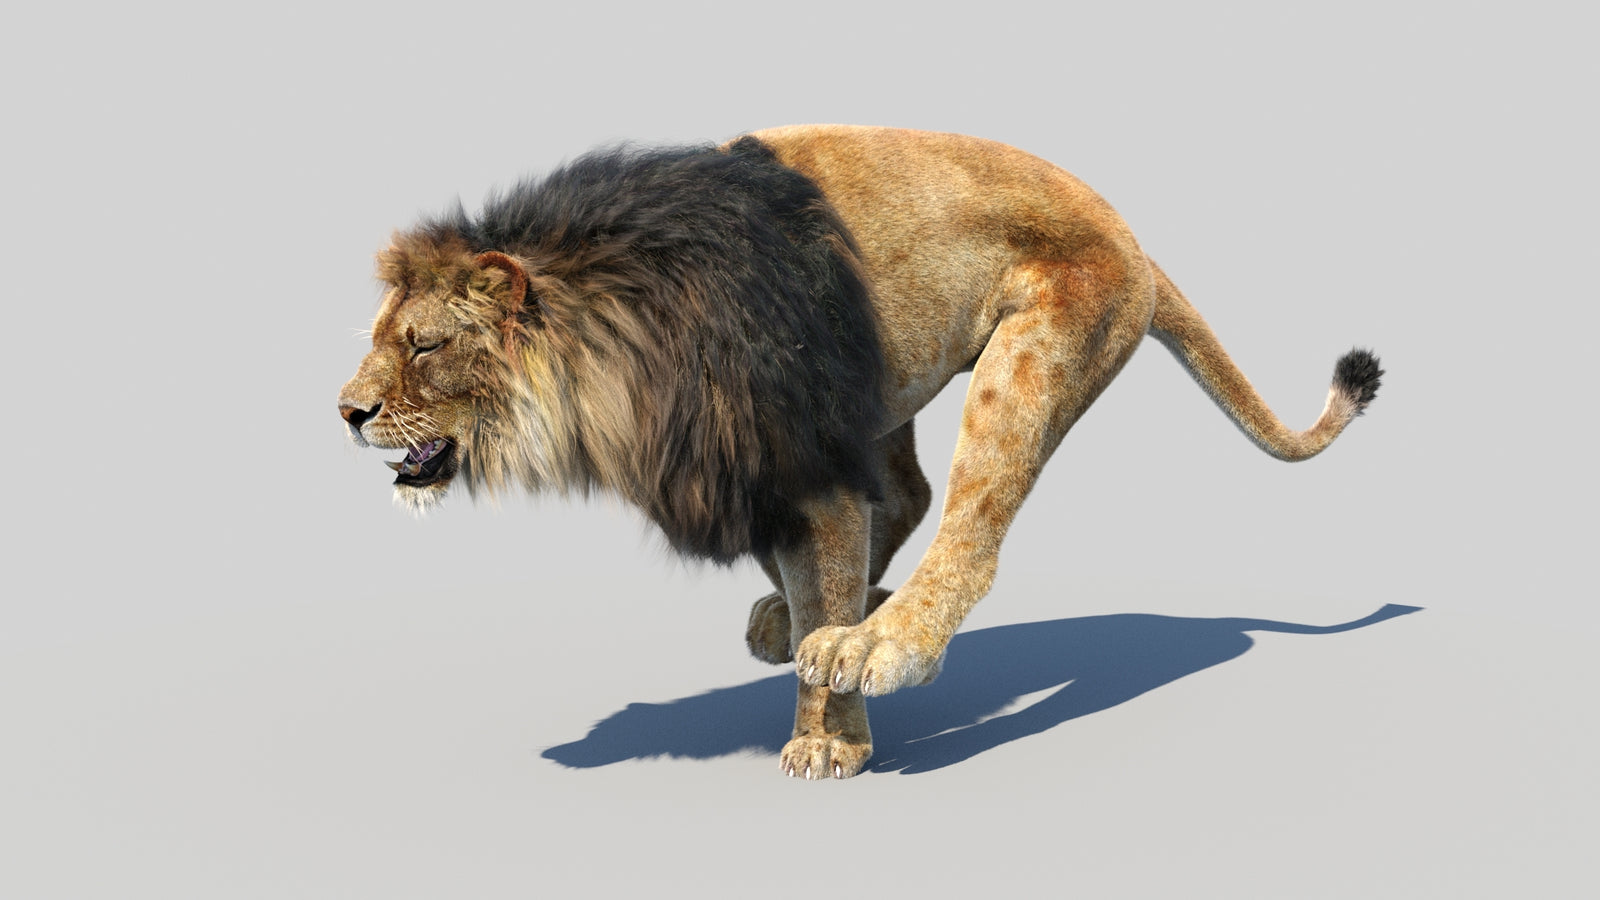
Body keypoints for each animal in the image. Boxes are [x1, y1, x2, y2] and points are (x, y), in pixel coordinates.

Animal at [338, 125, 1382, 779]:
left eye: (424, 346)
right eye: (381, 337)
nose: (345, 412)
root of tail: (1134, 239)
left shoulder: (804, 470)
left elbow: (830, 588)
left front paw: (831, 741)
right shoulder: (767, 470)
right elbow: (816, 582)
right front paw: (806, 639)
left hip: (1033, 356)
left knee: (967, 530)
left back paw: (886, 643)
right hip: (886, 385)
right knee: (910, 496)